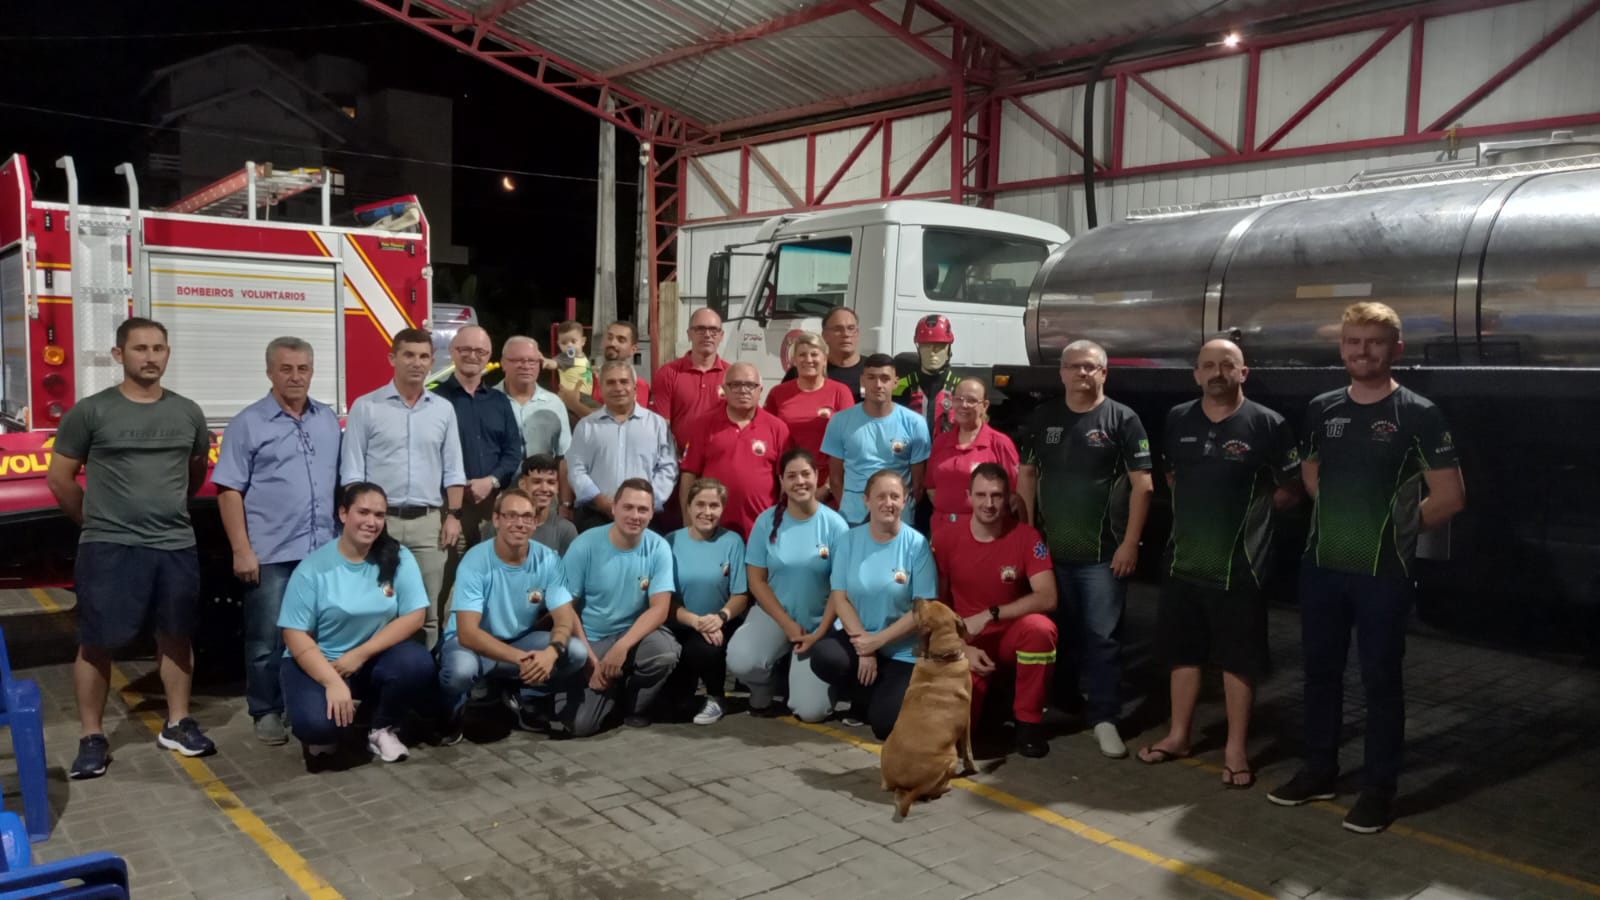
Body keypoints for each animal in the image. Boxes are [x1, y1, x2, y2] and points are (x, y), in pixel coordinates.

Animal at [876, 598, 972, 816]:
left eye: (931, 602)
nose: (916, 598)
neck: (942, 657)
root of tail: (903, 785)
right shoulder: (967, 721)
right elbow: (968, 749)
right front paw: (972, 767)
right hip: (950, 757)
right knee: (935, 788)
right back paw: (942, 788)